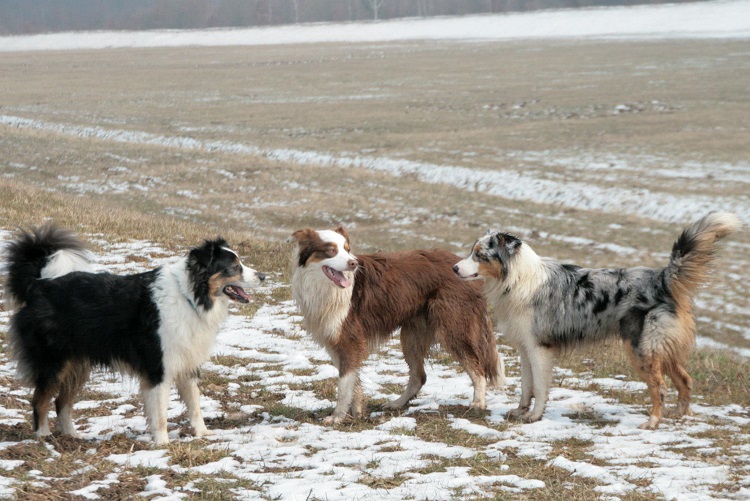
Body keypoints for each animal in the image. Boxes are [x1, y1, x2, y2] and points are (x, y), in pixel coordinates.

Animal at [2, 225, 266, 444]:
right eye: (234, 267)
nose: (263, 276)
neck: (190, 296)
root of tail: (38, 285)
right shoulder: (158, 367)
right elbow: (160, 411)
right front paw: (163, 444)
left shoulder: (186, 362)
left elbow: (195, 404)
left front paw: (203, 434)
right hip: (54, 362)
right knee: (40, 399)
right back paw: (44, 436)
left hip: (78, 363)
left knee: (62, 401)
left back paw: (72, 436)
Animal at [290, 227, 506, 422]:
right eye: (330, 250)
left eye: (347, 249)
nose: (353, 263)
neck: (326, 289)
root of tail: (463, 267)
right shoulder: (335, 341)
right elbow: (352, 381)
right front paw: (357, 411)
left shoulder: (350, 339)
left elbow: (344, 384)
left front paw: (337, 417)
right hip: (412, 335)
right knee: (419, 376)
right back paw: (397, 403)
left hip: (453, 327)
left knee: (477, 367)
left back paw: (478, 403)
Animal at [456, 213, 744, 428]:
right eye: (471, 251)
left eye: (480, 255)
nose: (454, 268)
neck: (515, 279)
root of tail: (661, 278)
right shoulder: (525, 348)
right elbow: (527, 385)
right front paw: (520, 411)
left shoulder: (540, 349)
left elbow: (539, 386)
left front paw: (534, 416)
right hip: (662, 348)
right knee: (685, 379)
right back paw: (680, 415)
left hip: (642, 348)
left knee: (660, 387)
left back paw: (652, 422)